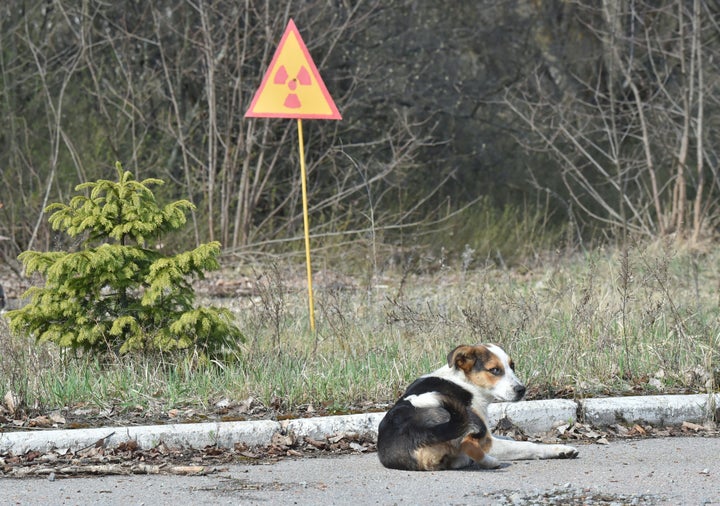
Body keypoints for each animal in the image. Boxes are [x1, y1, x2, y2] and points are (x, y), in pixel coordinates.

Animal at [376, 344, 580, 470]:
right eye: (495, 370)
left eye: (512, 366)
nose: (522, 390)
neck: (465, 380)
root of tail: (418, 432)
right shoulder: (487, 438)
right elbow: (527, 445)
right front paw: (558, 450)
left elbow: (508, 437)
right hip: (466, 420)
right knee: (468, 444)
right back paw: (490, 462)